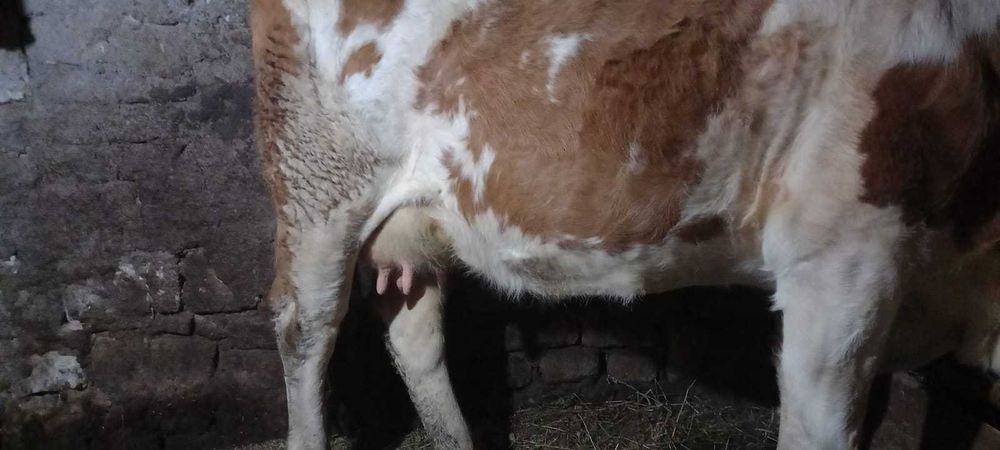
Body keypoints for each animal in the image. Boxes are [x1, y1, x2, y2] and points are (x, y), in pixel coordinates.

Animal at [249, 0, 1000, 448]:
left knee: (414, 333)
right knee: (305, 328)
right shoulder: (842, 261)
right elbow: (819, 428)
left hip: (414, 217)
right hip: (319, 186)